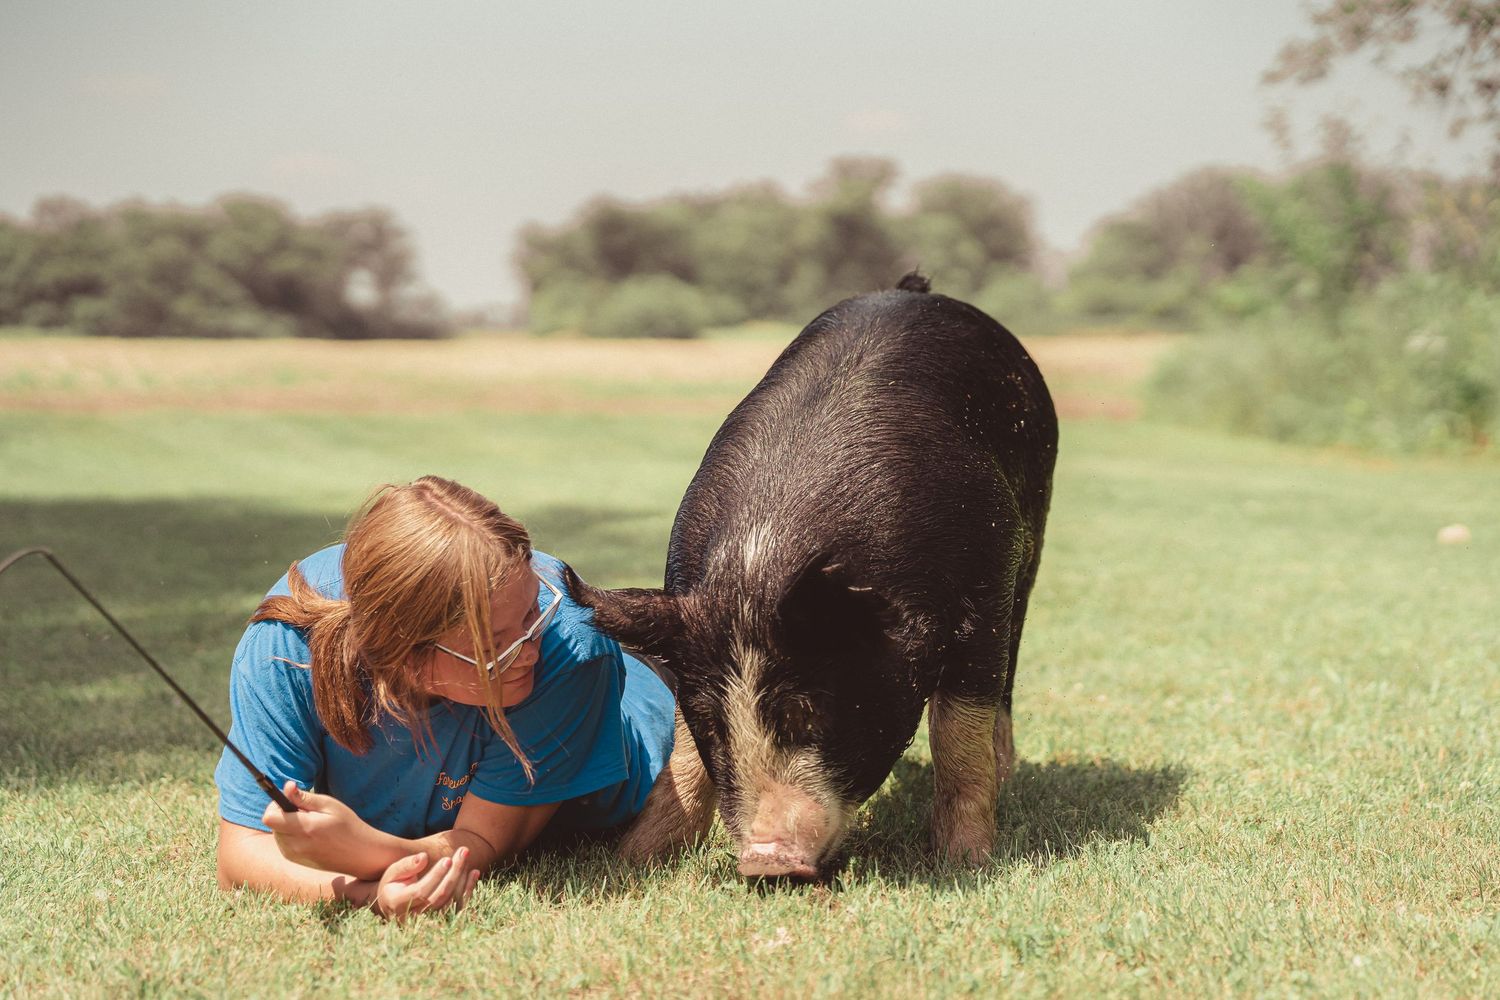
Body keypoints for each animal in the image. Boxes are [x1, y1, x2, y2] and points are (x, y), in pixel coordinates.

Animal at [571, 273, 1057, 878]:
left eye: (808, 712)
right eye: (714, 723)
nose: (765, 862)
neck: (761, 559)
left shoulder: (985, 585)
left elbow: (959, 734)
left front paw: (966, 862)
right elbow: (682, 754)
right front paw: (635, 859)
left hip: (1031, 540)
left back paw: (1007, 773)